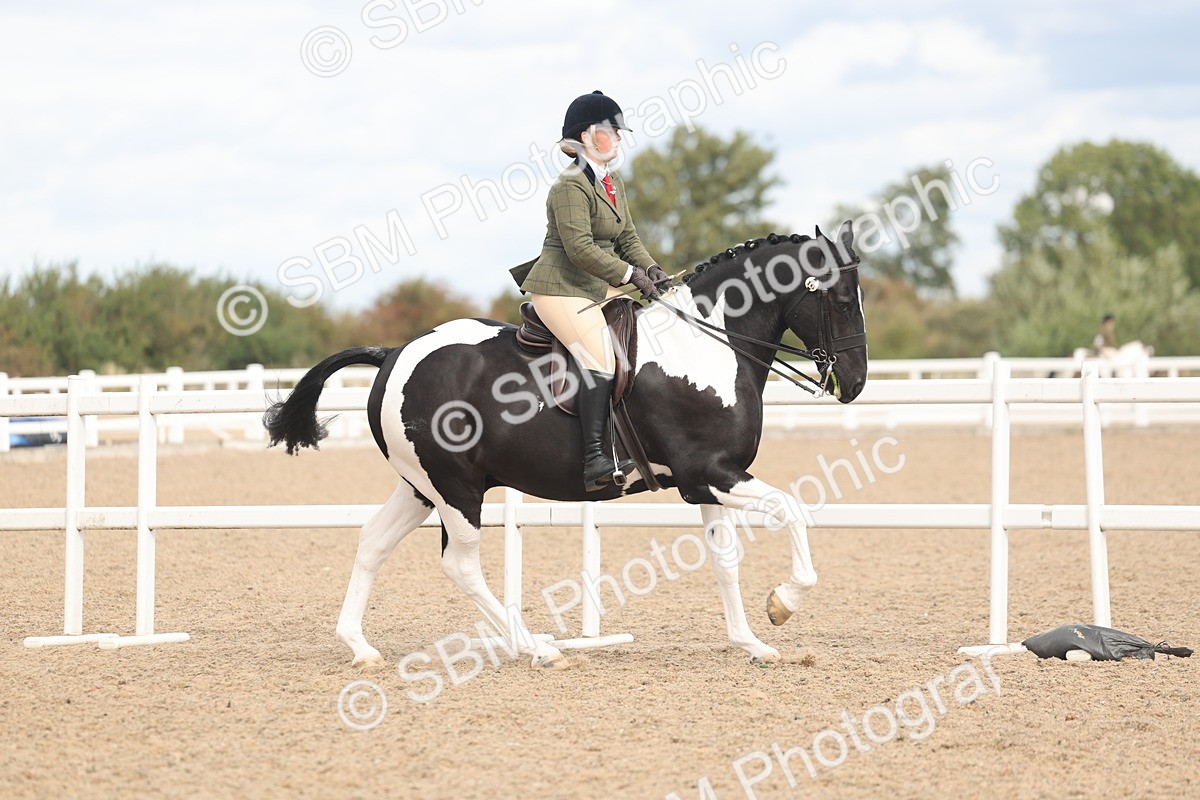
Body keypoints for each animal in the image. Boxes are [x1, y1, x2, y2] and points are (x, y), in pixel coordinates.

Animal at [265, 221, 868, 668]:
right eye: (840, 299)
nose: (856, 382)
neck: (703, 346)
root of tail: (394, 354)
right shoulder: (709, 473)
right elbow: (792, 510)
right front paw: (783, 604)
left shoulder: (708, 485)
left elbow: (725, 561)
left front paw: (752, 643)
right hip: (456, 490)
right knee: (460, 565)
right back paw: (536, 647)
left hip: (420, 487)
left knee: (372, 542)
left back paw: (360, 647)